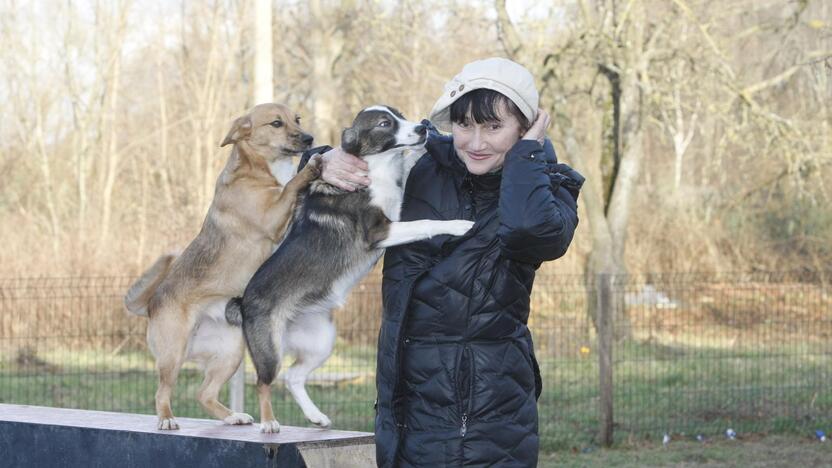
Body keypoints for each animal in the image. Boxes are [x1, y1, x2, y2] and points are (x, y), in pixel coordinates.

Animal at [125, 104, 320, 430]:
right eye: (276, 123)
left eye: (297, 119)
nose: (309, 138)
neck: (258, 170)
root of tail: (151, 304)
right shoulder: (272, 218)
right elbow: (292, 185)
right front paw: (309, 170)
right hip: (173, 355)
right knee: (162, 391)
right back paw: (167, 419)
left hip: (231, 354)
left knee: (204, 393)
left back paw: (233, 416)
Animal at [228, 105, 474, 432]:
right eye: (384, 124)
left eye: (400, 115)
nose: (423, 127)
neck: (377, 167)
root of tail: (243, 302)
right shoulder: (379, 231)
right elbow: (425, 223)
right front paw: (458, 225)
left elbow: (410, 168)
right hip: (270, 350)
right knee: (264, 382)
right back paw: (269, 423)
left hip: (321, 341)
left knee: (293, 377)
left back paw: (315, 416)